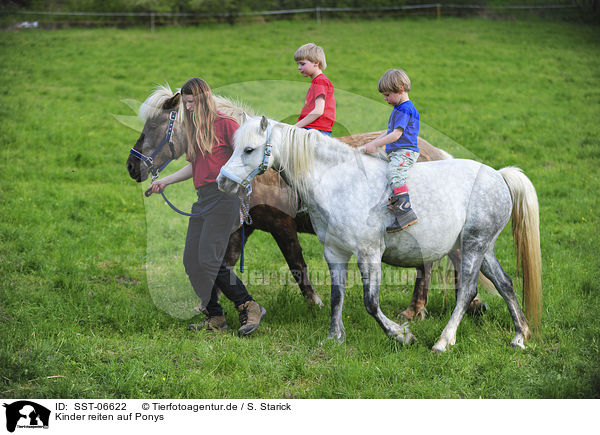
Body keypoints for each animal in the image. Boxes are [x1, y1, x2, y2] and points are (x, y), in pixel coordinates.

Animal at [126, 84, 468, 316]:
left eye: (154, 125)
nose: (132, 166)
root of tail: (437, 153)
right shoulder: (243, 226)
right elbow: (224, 262)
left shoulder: (282, 226)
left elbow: (296, 264)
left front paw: (315, 304)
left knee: (428, 266)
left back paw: (417, 310)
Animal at [217, 116, 544, 354]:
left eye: (249, 150)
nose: (222, 181)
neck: (339, 182)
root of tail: (499, 175)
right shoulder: (335, 253)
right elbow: (336, 297)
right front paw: (334, 338)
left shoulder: (369, 252)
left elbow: (370, 302)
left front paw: (401, 335)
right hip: (481, 248)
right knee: (505, 284)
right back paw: (519, 336)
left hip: (474, 245)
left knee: (466, 290)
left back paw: (443, 341)